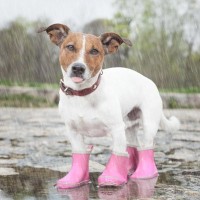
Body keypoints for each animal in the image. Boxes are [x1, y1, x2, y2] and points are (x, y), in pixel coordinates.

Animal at [37, 23, 180, 189]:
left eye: (94, 51)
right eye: (70, 47)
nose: (78, 68)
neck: (83, 94)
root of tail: (149, 81)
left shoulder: (116, 129)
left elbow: (118, 152)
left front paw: (113, 177)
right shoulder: (73, 132)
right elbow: (80, 154)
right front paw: (75, 180)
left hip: (148, 124)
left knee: (146, 147)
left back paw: (144, 173)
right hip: (129, 126)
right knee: (133, 145)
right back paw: (129, 169)